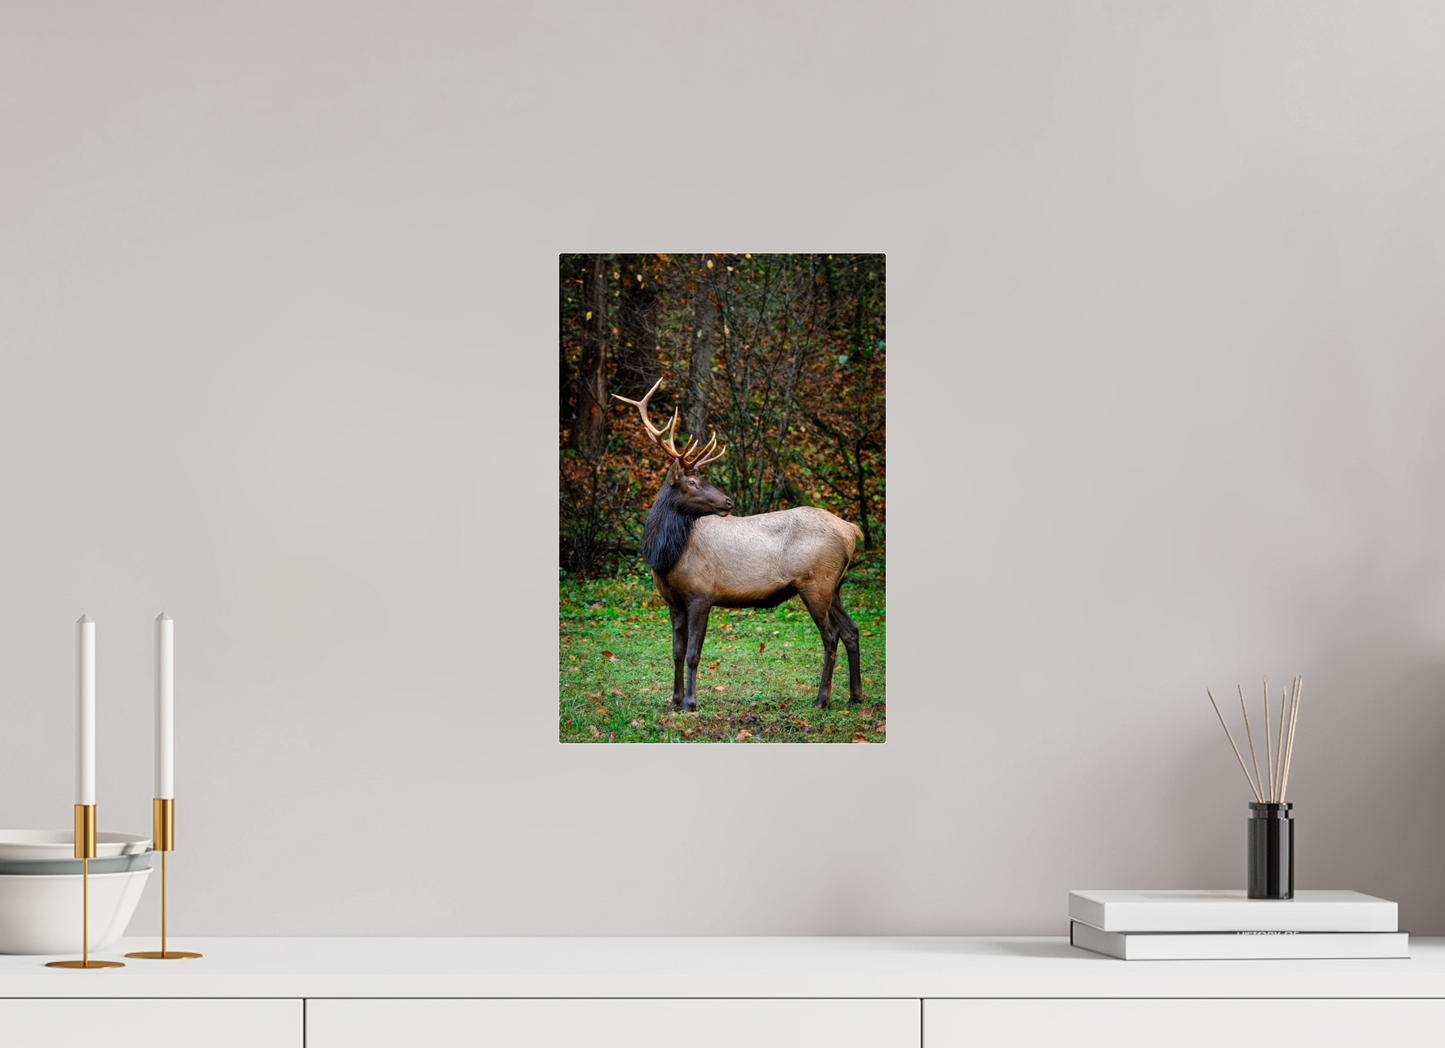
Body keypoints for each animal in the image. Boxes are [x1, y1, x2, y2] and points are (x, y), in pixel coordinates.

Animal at [613, 378, 864, 713]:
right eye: (692, 482)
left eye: (699, 478)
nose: (728, 501)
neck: (665, 556)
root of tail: (852, 530)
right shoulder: (673, 601)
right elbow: (676, 652)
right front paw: (673, 701)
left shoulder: (702, 594)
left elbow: (693, 653)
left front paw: (690, 702)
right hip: (835, 585)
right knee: (851, 630)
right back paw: (855, 695)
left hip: (816, 583)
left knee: (831, 635)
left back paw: (822, 699)